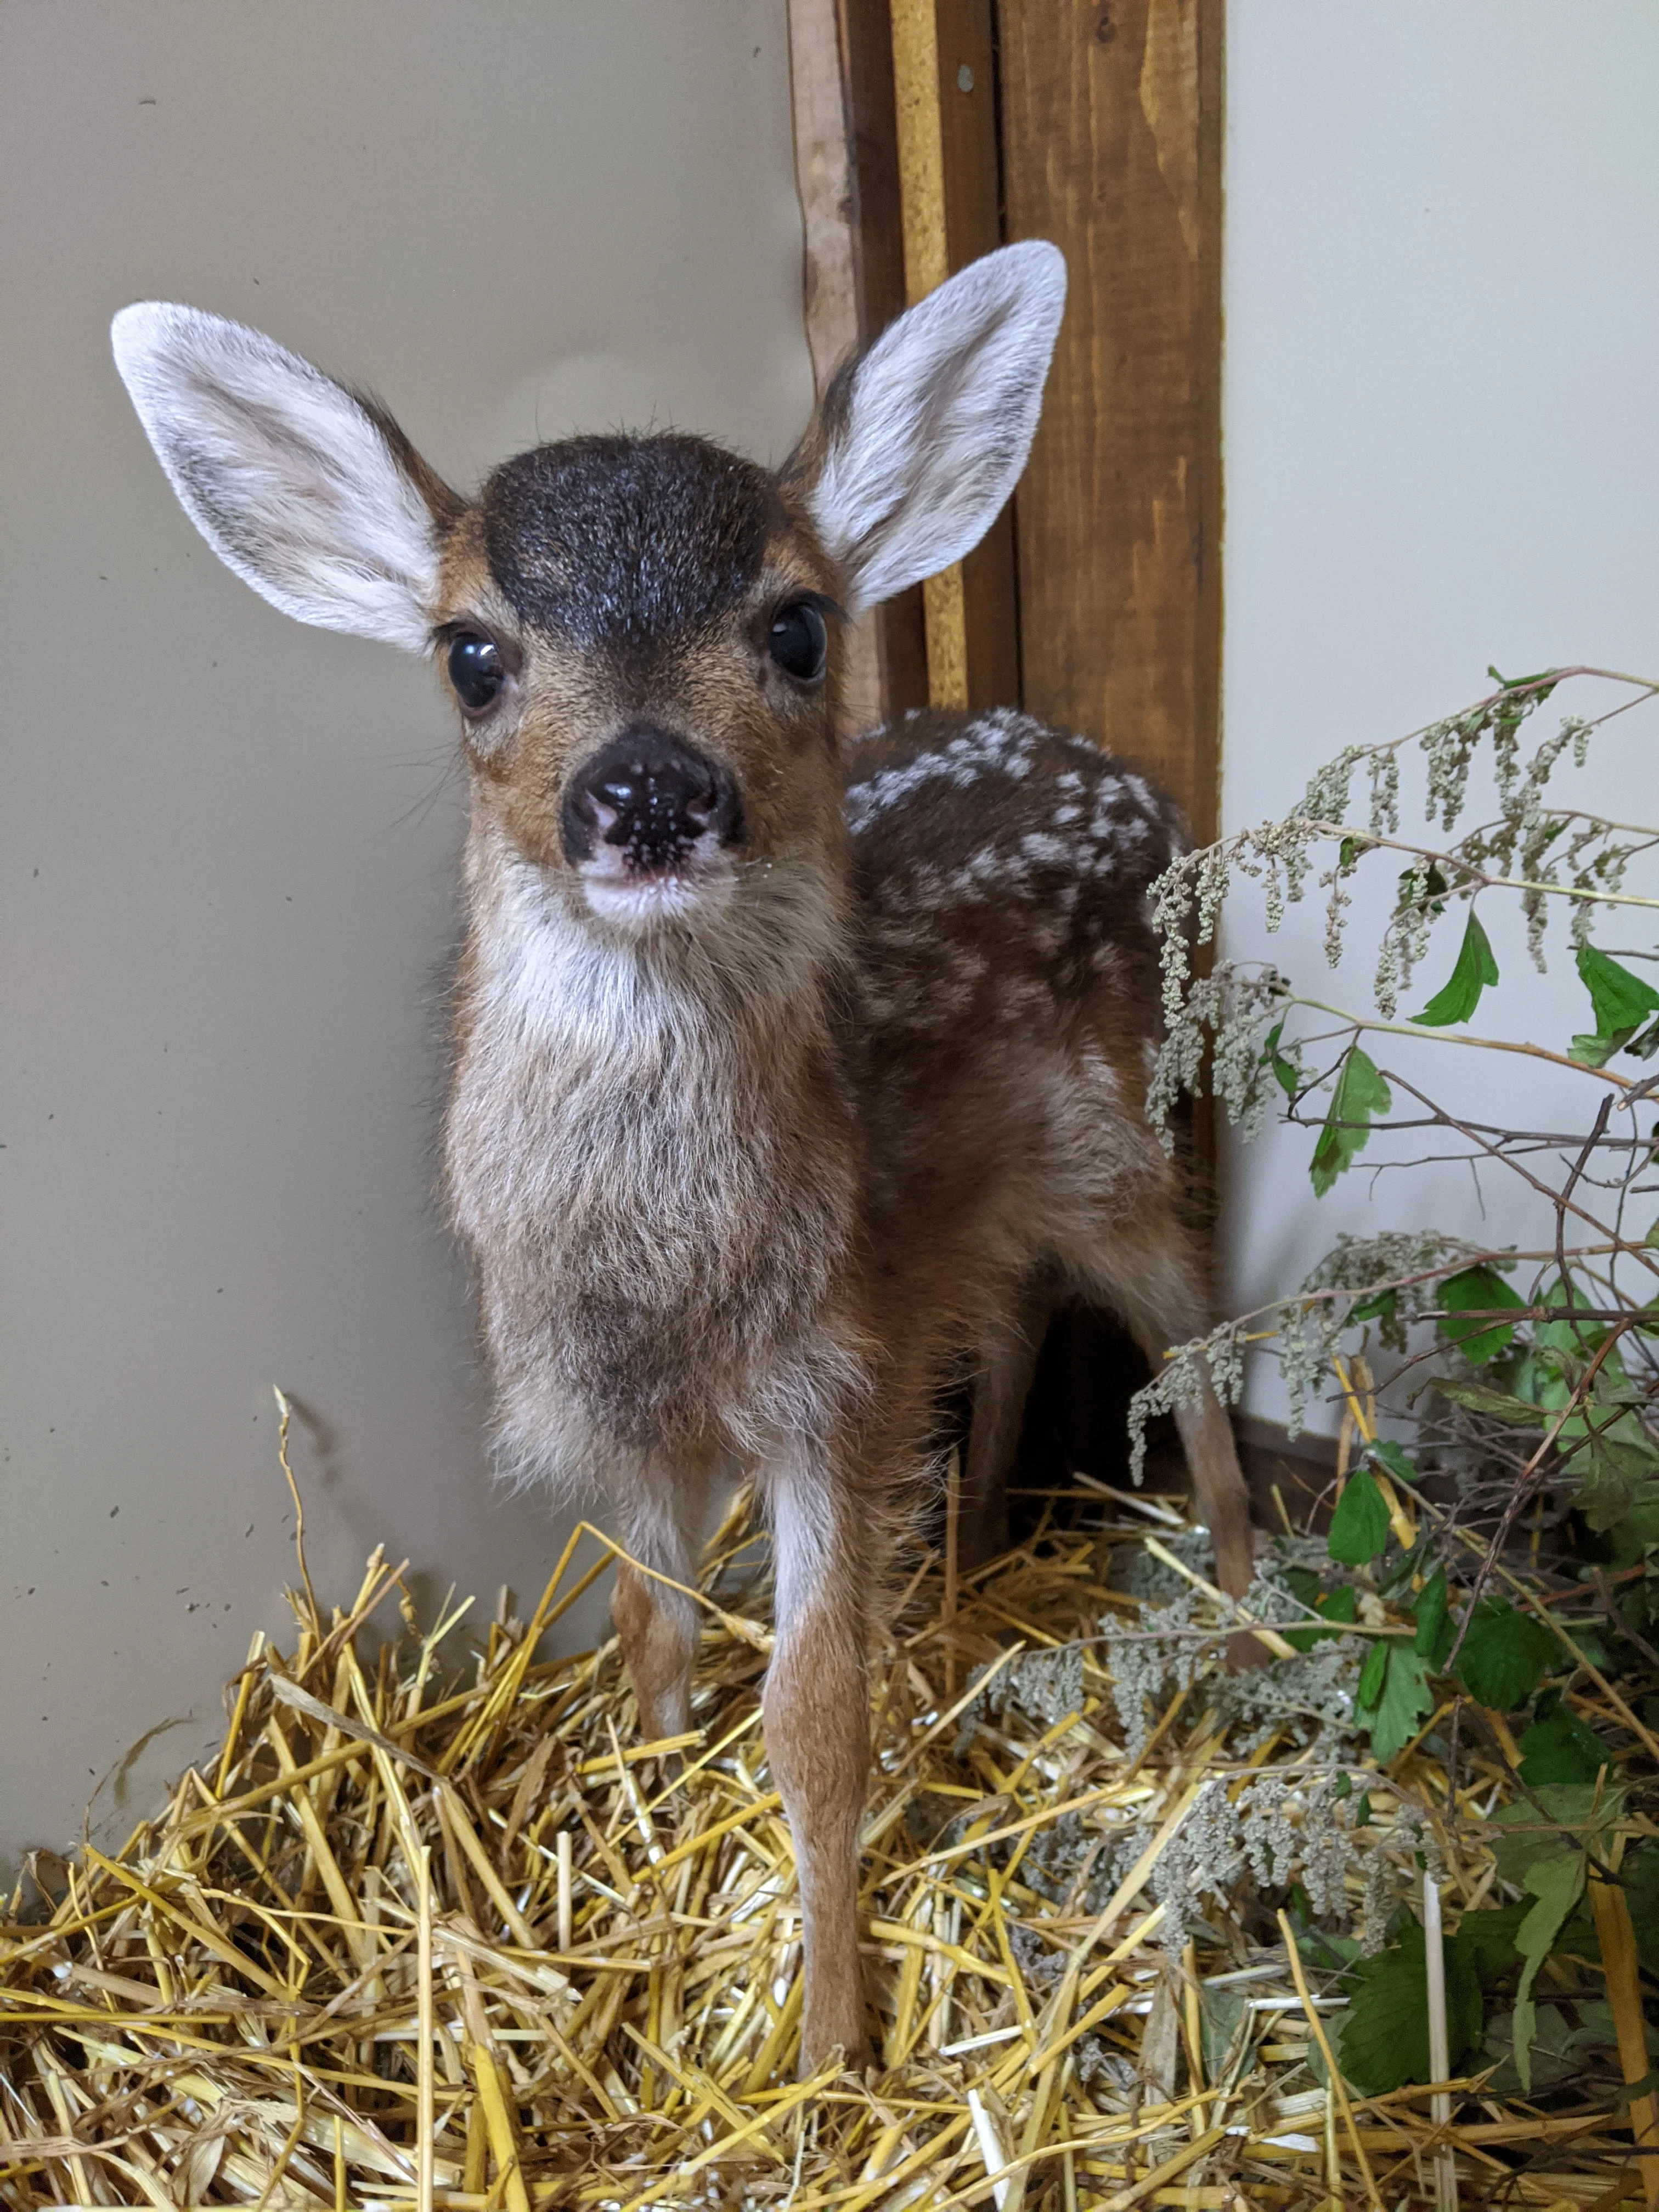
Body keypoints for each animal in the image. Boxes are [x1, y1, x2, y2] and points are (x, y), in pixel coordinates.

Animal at [111, 241, 1257, 2072]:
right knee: (1011, 1317)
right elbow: (650, 1626)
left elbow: (813, 1717)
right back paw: (969, 1569)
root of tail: (1106, 763)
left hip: (1128, 1140)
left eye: (796, 626)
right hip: (987, 1219)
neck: (665, 1280)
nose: (648, 788)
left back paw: (1240, 1592)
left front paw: (831, 2046)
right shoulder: (611, 1408)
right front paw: (640, 1836)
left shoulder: (821, 1386)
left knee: (1192, 1329)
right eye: (470, 653)